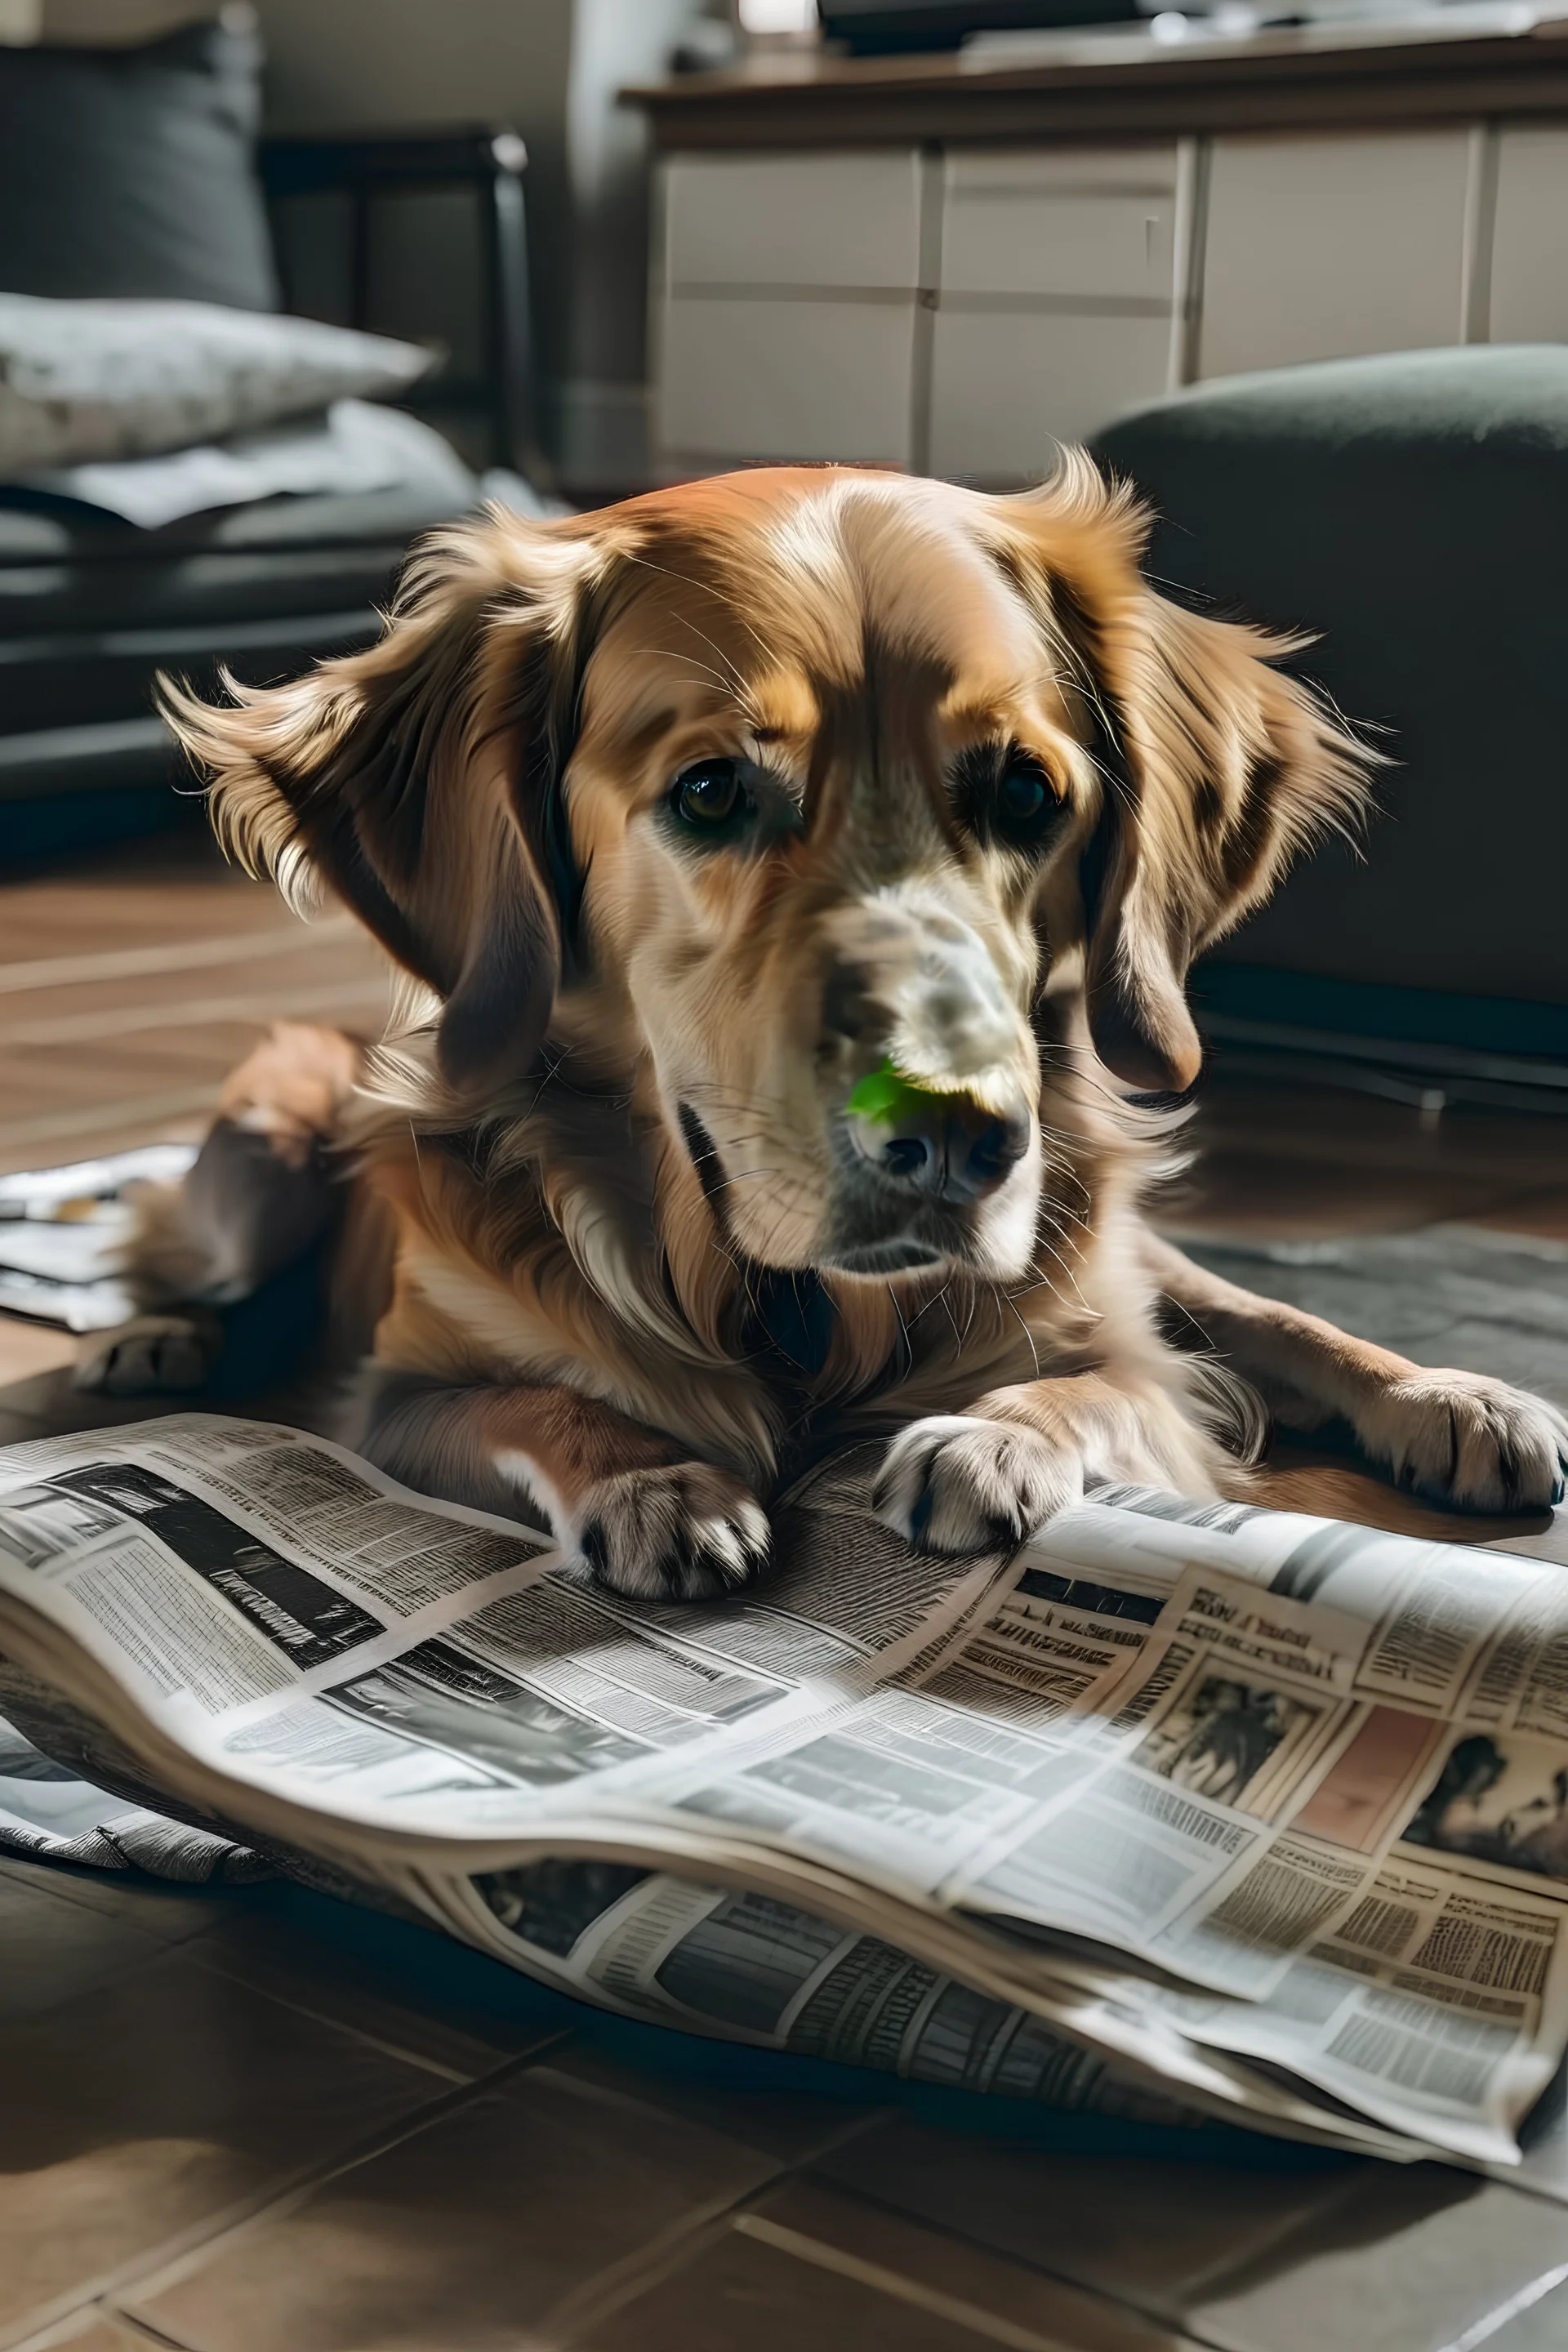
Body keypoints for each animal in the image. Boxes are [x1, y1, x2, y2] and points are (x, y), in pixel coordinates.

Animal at [88, 458, 1568, 1599]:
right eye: (710, 791)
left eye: (1028, 792)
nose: (956, 1140)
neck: (781, 1305)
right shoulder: (400, 1396)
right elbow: (539, 1398)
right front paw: (654, 1480)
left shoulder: (1130, 1353)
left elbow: (1111, 1379)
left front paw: (992, 1437)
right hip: (261, 1153)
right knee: (186, 1259)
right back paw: (148, 1342)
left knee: (1250, 1308)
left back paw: (1458, 1400)